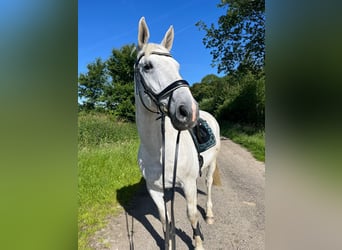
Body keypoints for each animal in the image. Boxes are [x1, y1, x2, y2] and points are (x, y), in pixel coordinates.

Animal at [135, 16, 220, 249]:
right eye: (147, 66)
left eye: (177, 66)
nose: (188, 110)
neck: (160, 150)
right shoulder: (155, 189)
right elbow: (165, 219)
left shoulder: (189, 184)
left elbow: (191, 215)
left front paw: (198, 242)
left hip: (211, 165)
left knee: (209, 185)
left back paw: (210, 214)